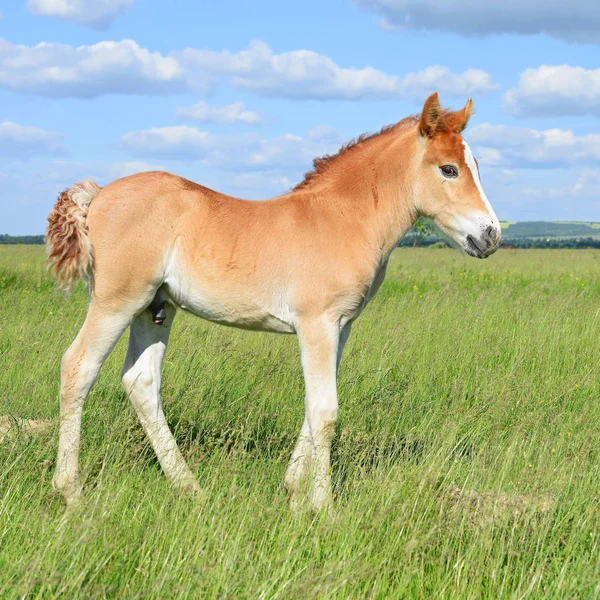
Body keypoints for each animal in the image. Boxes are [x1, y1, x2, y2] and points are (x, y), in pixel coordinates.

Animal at [47, 94, 500, 510]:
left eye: (477, 166)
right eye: (448, 168)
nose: (491, 235)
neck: (342, 218)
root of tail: (98, 194)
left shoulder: (341, 327)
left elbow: (314, 408)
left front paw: (293, 491)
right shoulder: (317, 323)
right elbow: (326, 413)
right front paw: (324, 508)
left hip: (155, 309)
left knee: (141, 382)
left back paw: (190, 487)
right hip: (118, 301)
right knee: (78, 367)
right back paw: (72, 491)